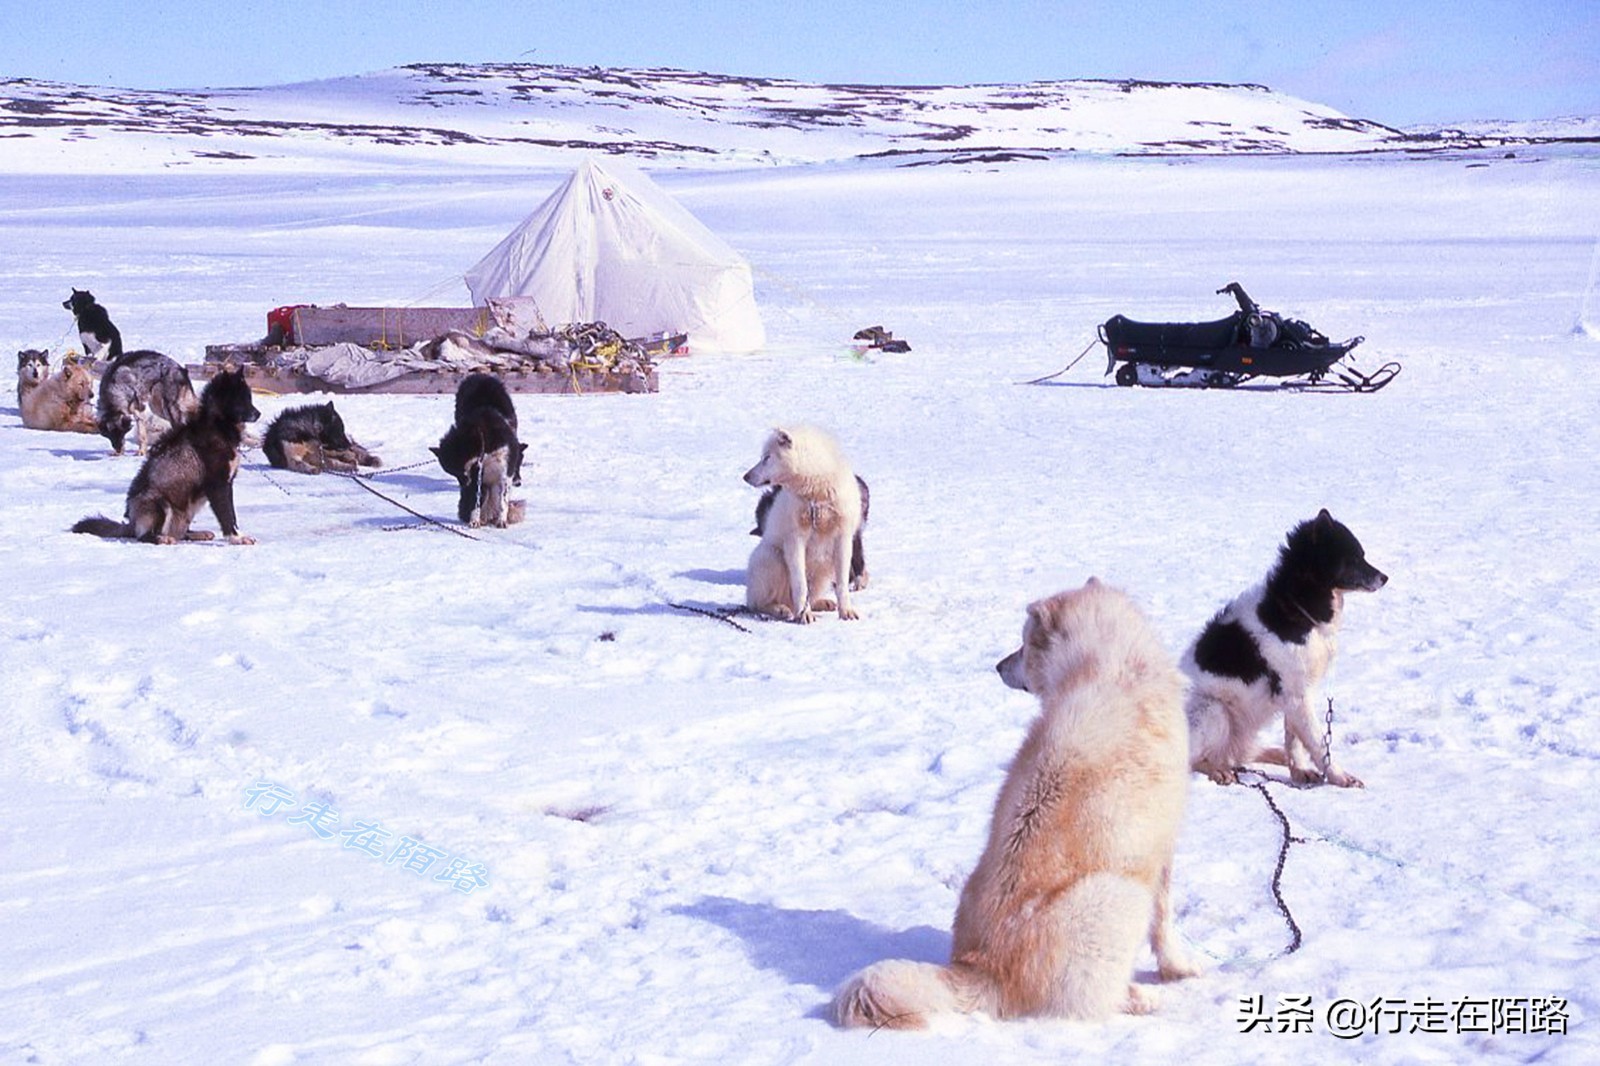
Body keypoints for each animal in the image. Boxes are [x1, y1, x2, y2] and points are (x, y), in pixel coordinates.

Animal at [428, 372, 528, 528]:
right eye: (453, 473)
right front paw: (474, 520)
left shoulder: (504, 472)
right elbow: (476, 500)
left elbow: (503, 501)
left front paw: (501, 520)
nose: (463, 485)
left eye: (458, 470)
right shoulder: (477, 475)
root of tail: (479, 375)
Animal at [745, 422, 870, 624]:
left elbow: (842, 584)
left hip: (824, 569)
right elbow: (800, 584)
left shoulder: (843, 539)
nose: (745, 476)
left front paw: (846, 612)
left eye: (767, 458)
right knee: (758, 604)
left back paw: (823, 603)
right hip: (772, 558)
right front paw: (804, 614)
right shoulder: (795, 540)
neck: (817, 494)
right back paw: (781, 609)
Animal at [832, 576, 1196, 1024]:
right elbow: (1165, 921)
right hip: (1118, 896)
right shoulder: (1161, 847)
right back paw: (1140, 998)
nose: (998, 666)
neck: (1105, 667)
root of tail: (982, 969)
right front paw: (1180, 968)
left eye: (1021, 646)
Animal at [1177, 505, 1388, 787]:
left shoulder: (1296, 693)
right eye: (1354, 558)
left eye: (1361, 555)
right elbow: (1317, 742)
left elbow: (1294, 738)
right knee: (1193, 760)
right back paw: (1216, 770)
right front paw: (1339, 776)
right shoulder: (1297, 694)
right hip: (1214, 711)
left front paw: (1299, 770)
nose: (1384, 577)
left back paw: (1272, 754)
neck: (1297, 606)